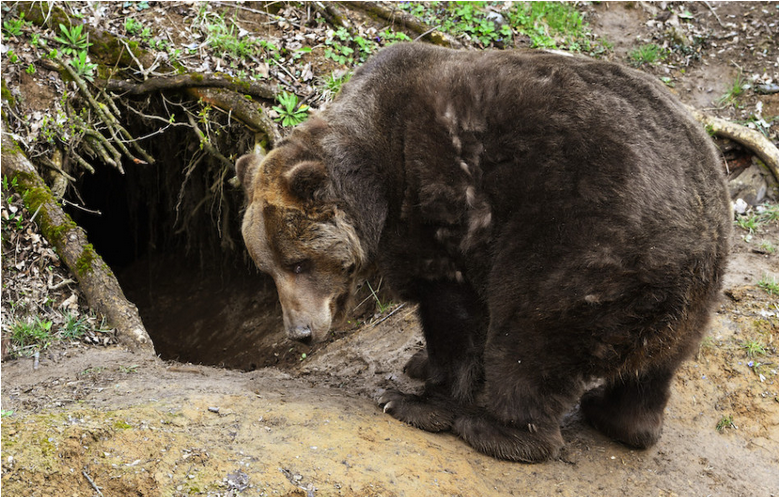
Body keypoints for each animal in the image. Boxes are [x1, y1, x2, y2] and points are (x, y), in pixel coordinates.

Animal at [239, 43, 736, 464]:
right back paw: (620, 418)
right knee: (655, 368)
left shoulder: (438, 210)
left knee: (529, 339)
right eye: (268, 269)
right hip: (686, 295)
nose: (300, 333)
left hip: (583, 253)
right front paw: (418, 364)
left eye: (298, 263)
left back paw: (495, 430)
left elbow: (454, 313)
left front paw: (411, 399)